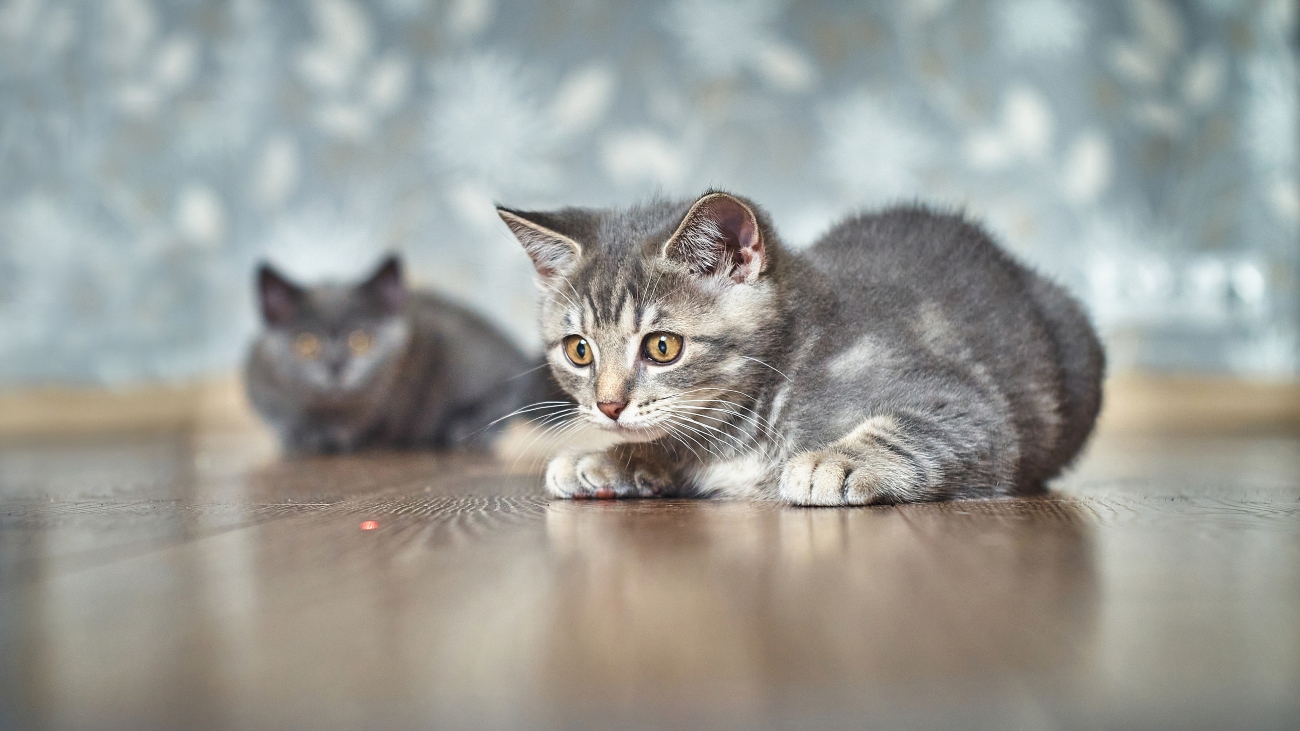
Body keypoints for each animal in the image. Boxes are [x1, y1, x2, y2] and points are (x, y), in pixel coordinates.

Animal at [246, 254, 548, 450]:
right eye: (306, 343)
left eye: (361, 340)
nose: (336, 366)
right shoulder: (260, 381)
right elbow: (282, 417)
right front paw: (300, 435)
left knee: (508, 394)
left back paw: (467, 429)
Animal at [496, 191, 1107, 504]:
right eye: (578, 350)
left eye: (663, 347)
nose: (608, 406)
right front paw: (611, 458)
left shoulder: (967, 405)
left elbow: (920, 425)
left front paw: (836, 461)